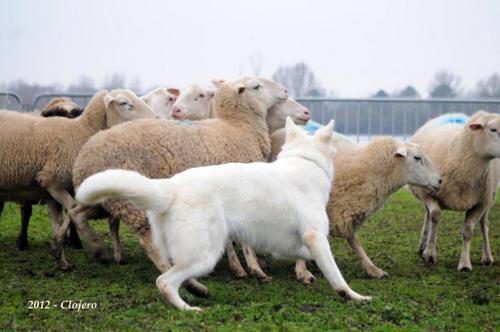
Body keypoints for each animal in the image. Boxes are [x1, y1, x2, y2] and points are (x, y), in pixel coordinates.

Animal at [0, 90, 156, 270]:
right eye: (124, 103)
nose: (156, 119)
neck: (81, 132)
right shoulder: (53, 182)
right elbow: (72, 209)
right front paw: (98, 248)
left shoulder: (52, 190)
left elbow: (59, 220)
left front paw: (61, 258)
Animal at [70, 77, 290, 296]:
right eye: (256, 86)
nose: (285, 91)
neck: (239, 128)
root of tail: (84, 158)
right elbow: (241, 239)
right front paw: (254, 269)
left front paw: (241, 268)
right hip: (129, 201)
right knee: (150, 243)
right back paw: (192, 284)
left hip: (103, 199)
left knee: (76, 214)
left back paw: (100, 250)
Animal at [75, 117, 372, 312]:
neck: (303, 162)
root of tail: (171, 187)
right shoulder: (316, 237)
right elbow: (335, 273)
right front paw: (354, 296)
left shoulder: (294, 242)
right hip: (205, 255)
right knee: (164, 281)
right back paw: (188, 308)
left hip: (193, 252)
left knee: (168, 270)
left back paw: (196, 291)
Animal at [232, 128, 440, 282]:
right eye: (417, 158)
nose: (440, 180)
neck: (365, 169)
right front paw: (303, 271)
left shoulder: (346, 211)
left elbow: (355, 242)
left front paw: (372, 268)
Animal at [410, 110, 500, 272]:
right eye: (493, 129)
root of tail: (452, 114)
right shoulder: (429, 193)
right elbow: (435, 216)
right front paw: (430, 253)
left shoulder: (480, 203)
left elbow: (468, 231)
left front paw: (464, 264)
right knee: (428, 215)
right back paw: (422, 245)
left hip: (490, 197)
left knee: (484, 224)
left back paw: (487, 257)